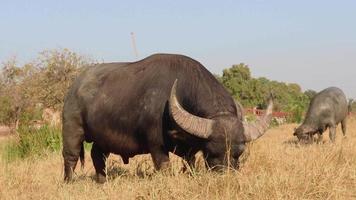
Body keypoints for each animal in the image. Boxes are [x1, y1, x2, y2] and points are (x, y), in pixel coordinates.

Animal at [62, 53, 272, 183]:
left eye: (239, 153)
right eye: (211, 152)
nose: (226, 176)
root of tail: (75, 85)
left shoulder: (190, 150)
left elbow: (190, 165)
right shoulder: (157, 147)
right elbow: (164, 167)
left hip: (102, 139)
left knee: (97, 156)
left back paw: (102, 180)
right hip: (72, 129)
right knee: (71, 157)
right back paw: (69, 182)